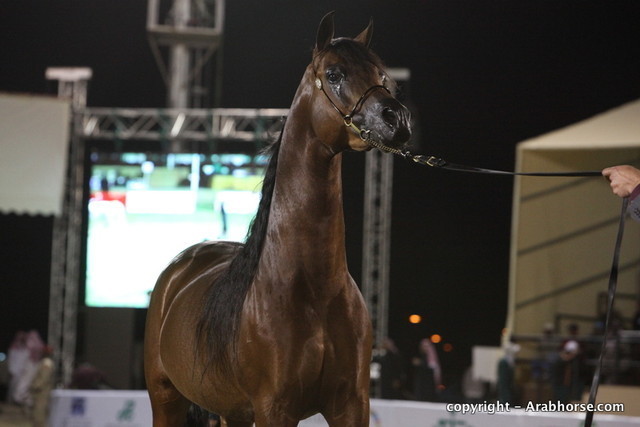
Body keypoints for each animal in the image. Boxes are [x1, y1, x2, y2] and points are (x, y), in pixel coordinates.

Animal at [144, 12, 412, 426]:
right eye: (334, 73)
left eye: (382, 76)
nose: (396, 119)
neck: (313, 288)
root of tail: (179, 268)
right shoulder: (275, 408)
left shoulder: (352, 404)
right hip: (165, 399)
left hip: (231, 411)